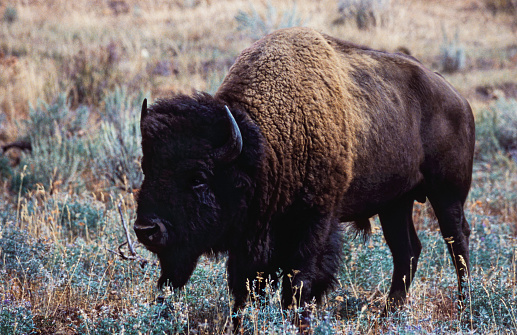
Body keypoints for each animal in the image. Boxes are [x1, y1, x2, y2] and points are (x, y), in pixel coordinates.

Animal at [134, 28, 476, 322]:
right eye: (146, 167)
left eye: (198, 177)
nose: (146, 229)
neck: (266, 145)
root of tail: (458, 98)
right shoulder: (253, 238)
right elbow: (247, 287)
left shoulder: (315, 221)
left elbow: (300, 282)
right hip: (395, 203)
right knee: (407, 251)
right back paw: (388, 314)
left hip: (446, 193)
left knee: (457, 242)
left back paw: (465, 307)